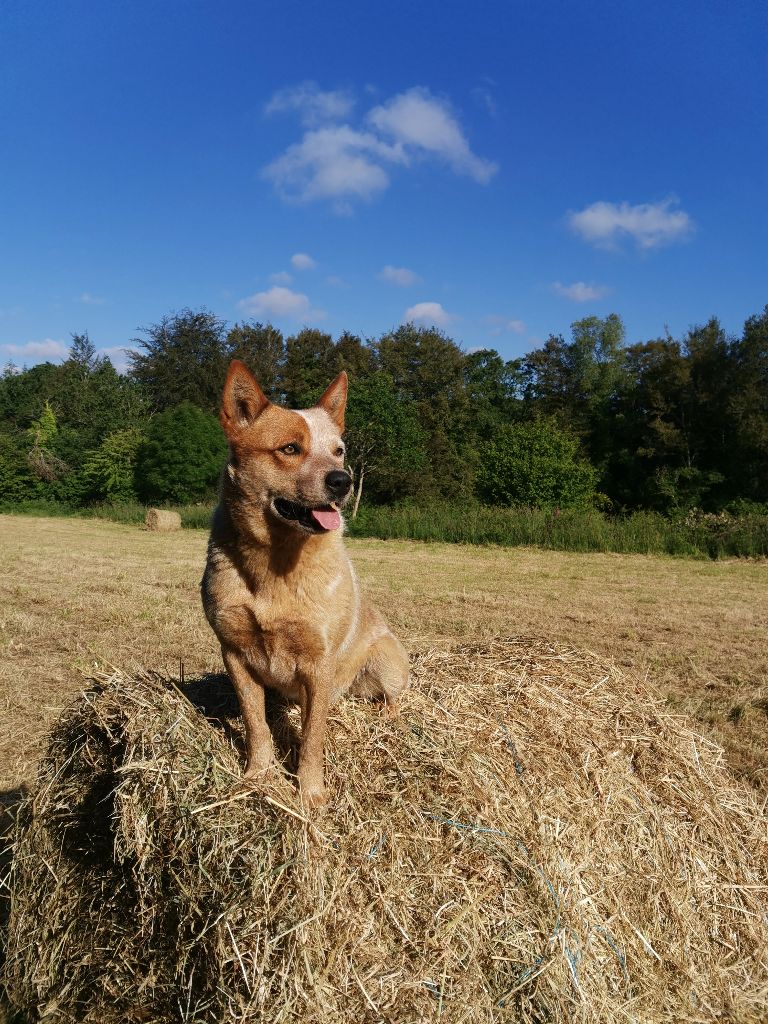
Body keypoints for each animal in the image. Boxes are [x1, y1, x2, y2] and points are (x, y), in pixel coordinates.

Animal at [201, 362, 411, 806]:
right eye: (289, 449)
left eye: (339, 451)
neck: (275, 563)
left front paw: (310, 794)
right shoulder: (233, 652)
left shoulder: (319, 662)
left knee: (392, 696)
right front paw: (257, 775)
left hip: (386, 661)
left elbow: (313, 736)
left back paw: (387, 715)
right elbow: (256, 724)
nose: (343, 481)